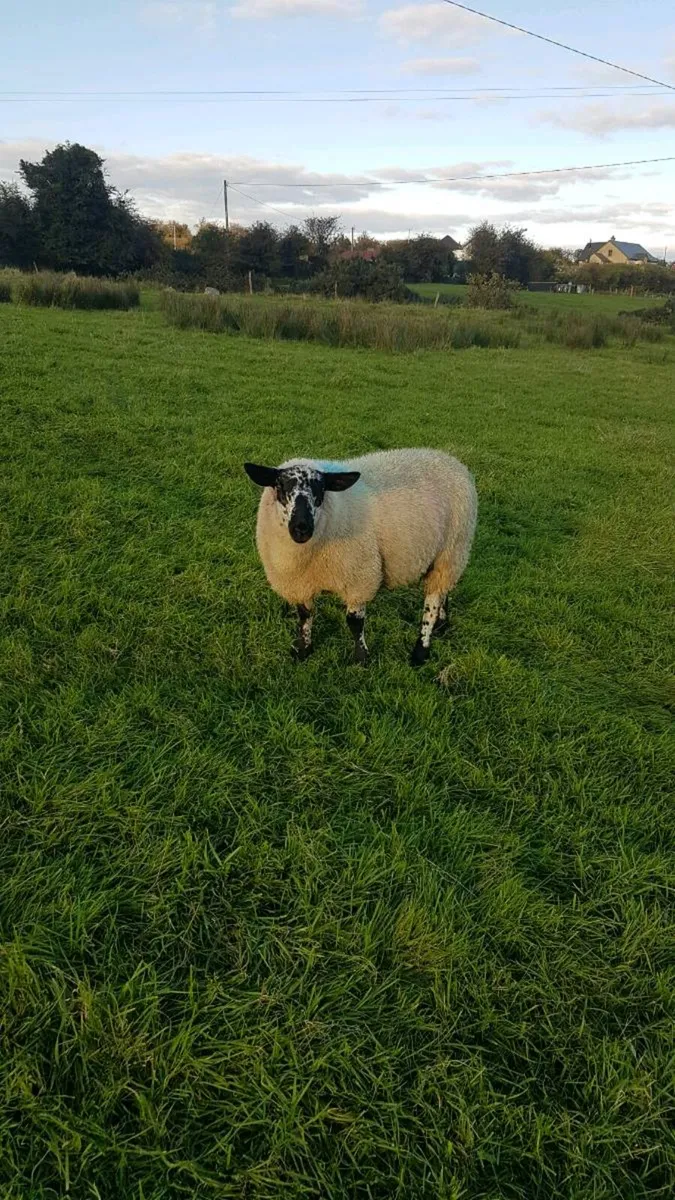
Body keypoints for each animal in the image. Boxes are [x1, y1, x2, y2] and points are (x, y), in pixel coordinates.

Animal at [244, 448, 477, 666]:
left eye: (321, 489)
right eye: (280, 487)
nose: (302, 528)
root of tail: (448, 458)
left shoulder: (358, 578)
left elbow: (354, 623)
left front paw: (361, 658)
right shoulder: (299, 583)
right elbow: (305, 616)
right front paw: (303, 650)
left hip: (452, 549)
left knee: (432, 602)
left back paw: (421, 651)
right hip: (448, 558)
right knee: (445, 590)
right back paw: (442, 624)